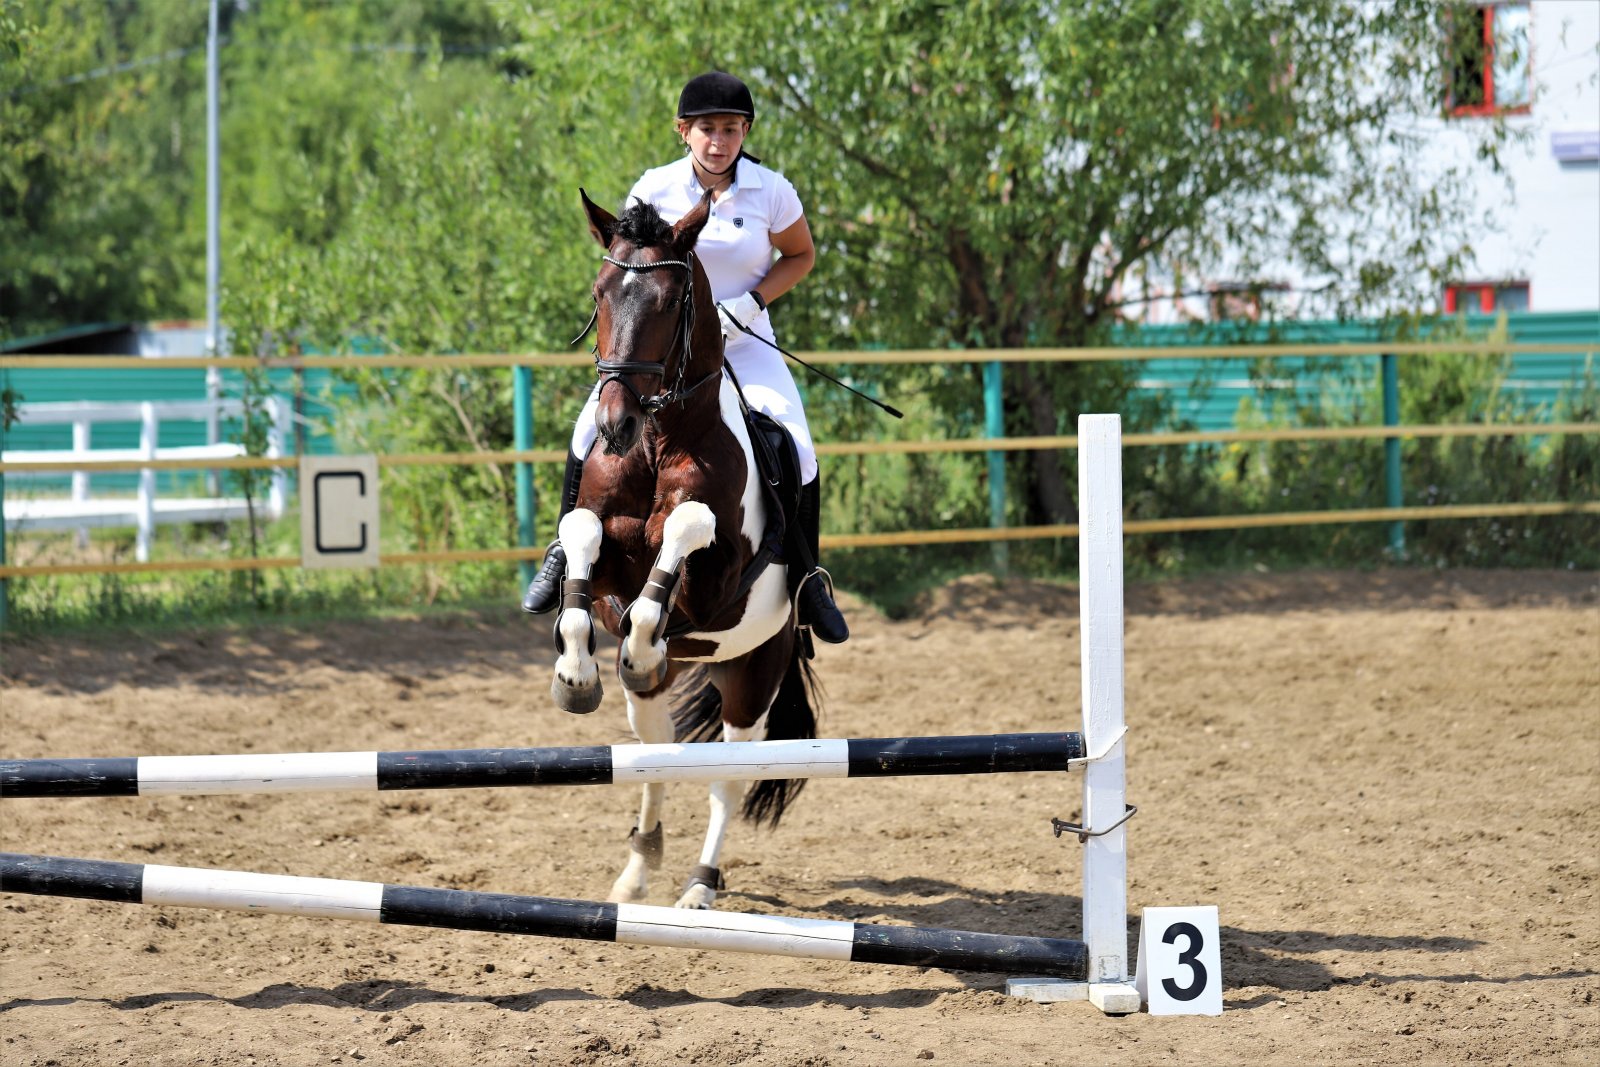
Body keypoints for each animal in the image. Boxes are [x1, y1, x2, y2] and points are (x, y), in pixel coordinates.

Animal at [547, 188, 819, 910]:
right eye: (600, 293)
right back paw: (638, 866)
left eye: (671, 303)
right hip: (676, 688)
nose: (614, 424)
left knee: (727, 774)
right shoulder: (603, 560)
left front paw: (641, 640)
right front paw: (575, 673)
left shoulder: (715, 583)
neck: (657, 440)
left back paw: (699, 886)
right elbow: (583, 546)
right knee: (657, 748)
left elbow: (683, 532)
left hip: (754, 672)